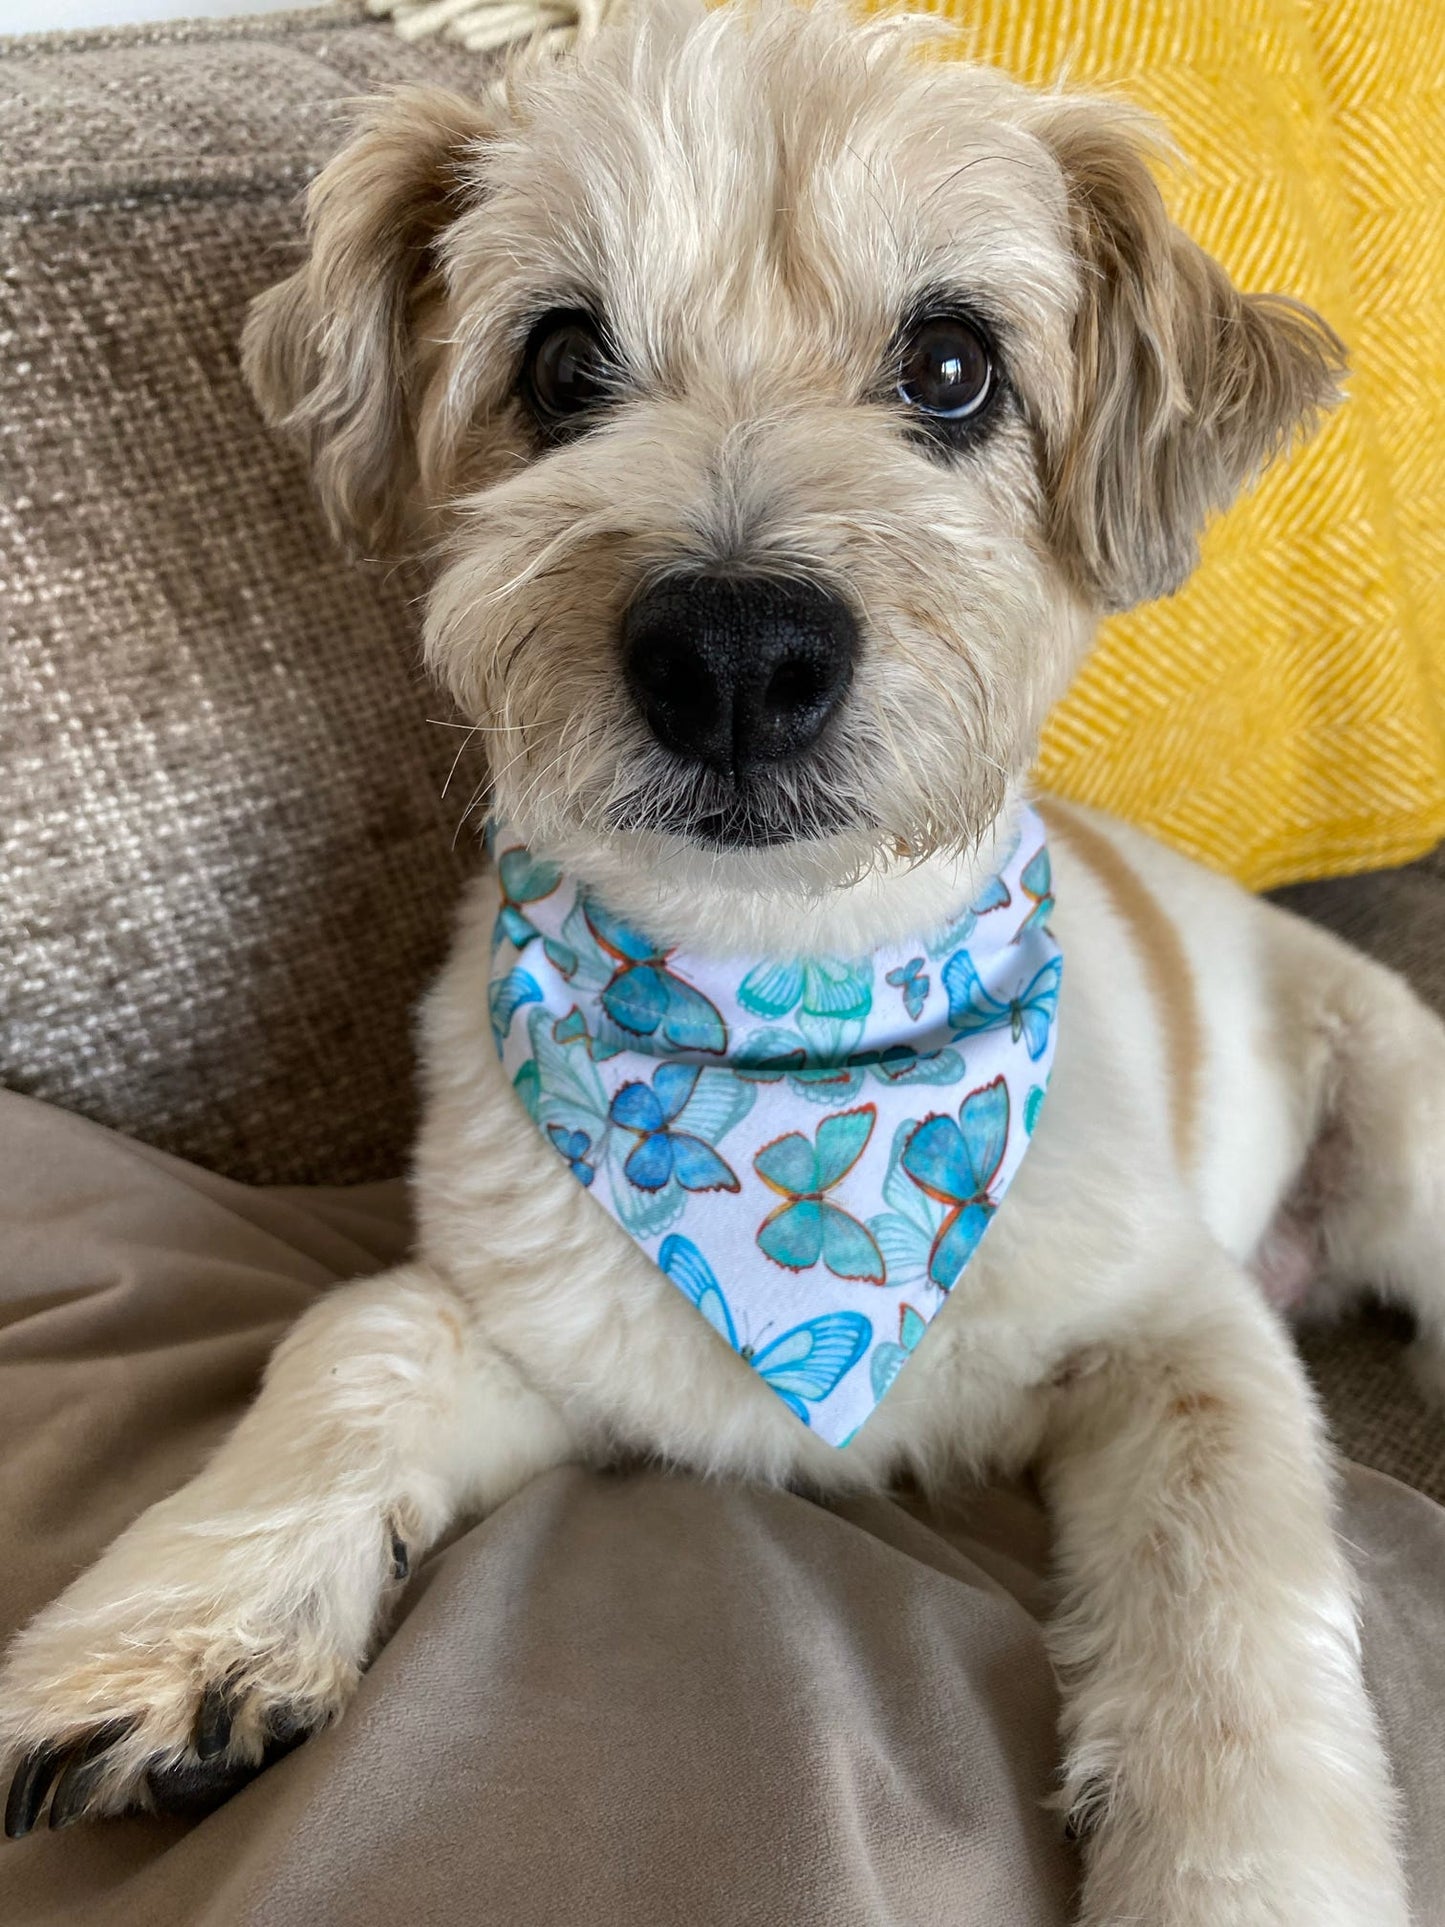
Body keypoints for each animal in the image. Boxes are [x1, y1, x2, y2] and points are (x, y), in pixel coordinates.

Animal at [2, 7, 1445, 1919]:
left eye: (955, 365)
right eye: (559, 361)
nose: (738, 653)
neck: (781, 995)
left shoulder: (1177, 1321)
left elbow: (1230, 1584)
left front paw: (1242, 1868)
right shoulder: (533, 1314)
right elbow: (357, 1336)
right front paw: (173, 1625)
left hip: (1404, 1137)